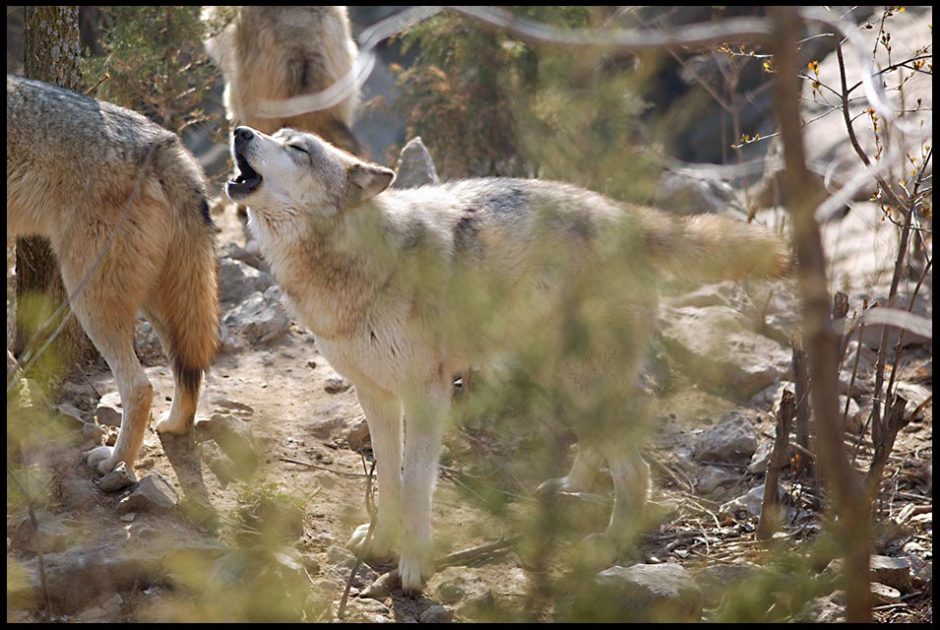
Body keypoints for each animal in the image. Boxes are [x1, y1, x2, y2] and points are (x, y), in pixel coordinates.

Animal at [6, 75, 221, 474]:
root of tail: (161, 141)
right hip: (154, 302)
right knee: (187, 369)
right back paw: (173, 426)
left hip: (89, 298)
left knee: (140, 387)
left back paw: (116, 463)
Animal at [224, 126, 788, 596]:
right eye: (274, 133)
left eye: (298, 149)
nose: (240, 130)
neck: (352, 262)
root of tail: (625, 214)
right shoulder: (375, 394)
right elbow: (387, 478)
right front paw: (381, 541)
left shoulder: (427, 394)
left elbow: (416, 483)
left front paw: (413, 565)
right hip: (560, 373)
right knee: (599, 445)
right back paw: (570, 487)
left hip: (582, 379)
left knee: (636, 473)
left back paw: (608, 548)